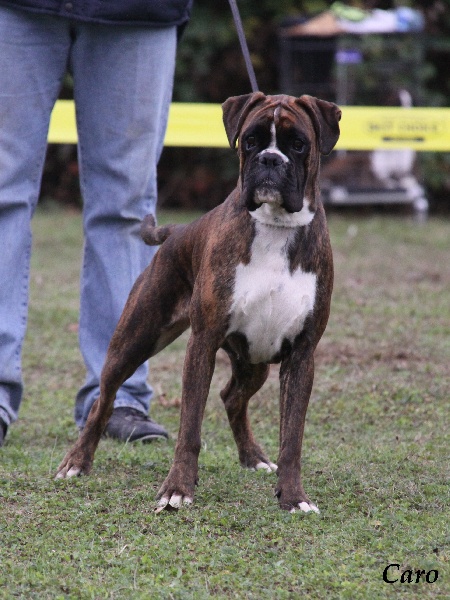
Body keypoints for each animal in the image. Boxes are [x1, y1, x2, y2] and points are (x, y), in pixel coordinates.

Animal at [58, 91, 342, 512]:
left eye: (298, 144)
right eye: (250, 140)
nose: (270, 160)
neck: (276, 227)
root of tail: (178, 230)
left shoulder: (301, 354)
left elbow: (292, 437)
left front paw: (293, 497)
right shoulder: (202, 344)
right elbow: (189, 427)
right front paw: (177, 488)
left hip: (254, 361)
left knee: (232, 397)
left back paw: (254, 457)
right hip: (134, 341)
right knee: (102, 401)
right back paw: (77, 462)